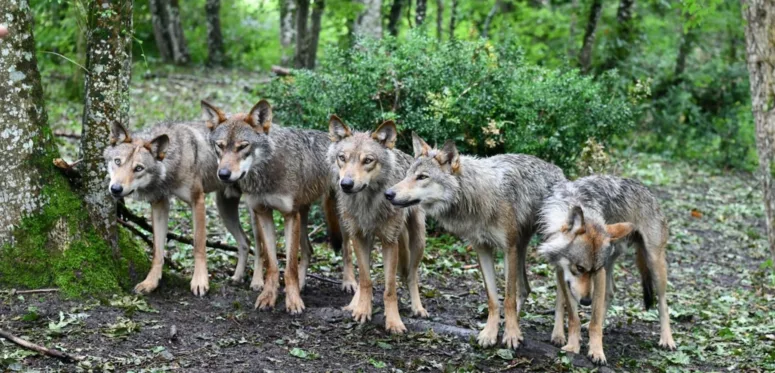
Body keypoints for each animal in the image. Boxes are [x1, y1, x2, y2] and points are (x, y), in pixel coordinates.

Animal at [103, 120, 252, 294]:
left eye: (138, 168)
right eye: (117, 161)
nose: (115, 189)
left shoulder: (198, 201)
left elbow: (199, 245)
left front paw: (200, 282)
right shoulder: (159, 205)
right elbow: (157, 251)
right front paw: (151, 282)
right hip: (225, 211)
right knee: (246, 242)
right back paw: (237, 278)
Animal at [203, 99, 354, 314]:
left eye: (243, 146)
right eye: (220, 146)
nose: (223, 174)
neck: (265, 173)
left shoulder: (289, 216)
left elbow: (289, 267)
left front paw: (294, 302)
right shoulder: (264, 213)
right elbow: (273, 264)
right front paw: (268, 297)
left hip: (338, 215)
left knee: (347, 249)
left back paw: (349, 283)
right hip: (298, 215)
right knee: (308, 250)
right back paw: (302, 284)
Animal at [328, 115, 430, 332]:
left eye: (368, 160)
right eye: (342, 158)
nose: (346, 184)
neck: (367, 204)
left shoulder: (389, 242)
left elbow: (390, 288)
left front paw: (394, 322)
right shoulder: (359, 237)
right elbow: (366, 280)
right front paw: (361, 310)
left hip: (418, 241)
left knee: (411, 275)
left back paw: (418, 308)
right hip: (354, 233)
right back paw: (354, 304)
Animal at [386, 134, 564, 348]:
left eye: (422, 177)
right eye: (407, 175)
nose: (388, 194)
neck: (477, 196)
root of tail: (557, 170)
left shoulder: (508, 249)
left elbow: (508, 298)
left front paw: (512, 335)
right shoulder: (483, 249)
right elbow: (494, 299)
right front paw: (491, 333)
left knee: (559, 297)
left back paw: (558, 335)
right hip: (521, 247)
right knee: (525, 289)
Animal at [536, 174, 676, 364]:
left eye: (593, 270)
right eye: (579, 267)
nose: (586, 301)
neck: (575, 201)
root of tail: (646, 190)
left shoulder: (599, 273)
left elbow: (595, 322)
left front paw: (596, 352)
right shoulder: (562, 271)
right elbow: (572, 316)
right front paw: (572, 345)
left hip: (654, 263)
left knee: (663, 303)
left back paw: (667, 339)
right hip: (609, 263)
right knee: (609, 291)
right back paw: (559, 334)